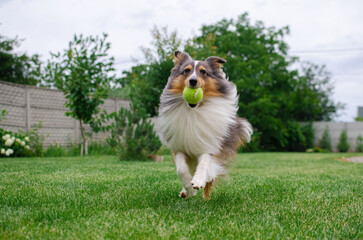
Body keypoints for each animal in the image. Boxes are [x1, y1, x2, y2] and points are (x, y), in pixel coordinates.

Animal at [156, 51, 253, 200]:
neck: (195, 111)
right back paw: (185, 192)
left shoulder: (211, 146)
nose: (193, 81)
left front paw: (198, 181)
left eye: (203, 72)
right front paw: (190, 188)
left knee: (210, 180)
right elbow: (181, 169)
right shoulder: (179, 145)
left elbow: (204, 164)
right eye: (186, 70)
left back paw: (205, 198)